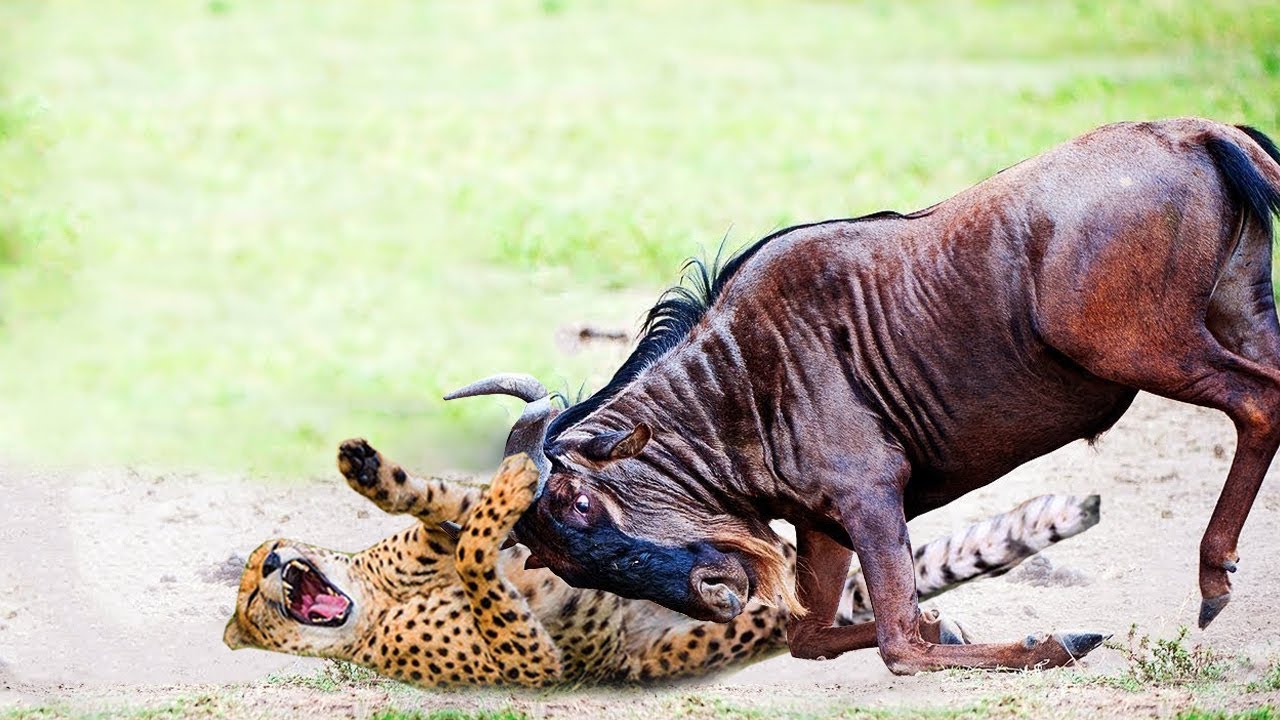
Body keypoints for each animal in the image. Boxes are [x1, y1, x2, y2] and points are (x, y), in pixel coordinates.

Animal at [223, 439, 1100, 687]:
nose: (277, 566)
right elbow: (479, 553)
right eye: (253, 597)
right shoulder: (535, 658)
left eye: (266, 560)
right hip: (681, 644)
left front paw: (373, 468)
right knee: (808, 625)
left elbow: (448, 509)